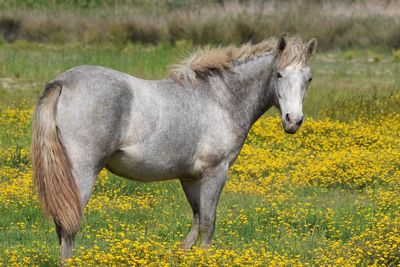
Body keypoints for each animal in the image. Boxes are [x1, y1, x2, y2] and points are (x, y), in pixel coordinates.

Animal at [31, 34, 318, 262]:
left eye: (308, 79)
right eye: (279, 74)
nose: (293, 121)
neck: (220, 98)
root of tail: (62, 82)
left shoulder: (190, 177)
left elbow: (196, 221)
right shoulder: (216, 172)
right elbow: (208, 223)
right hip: (81, 173)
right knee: (68, 225)